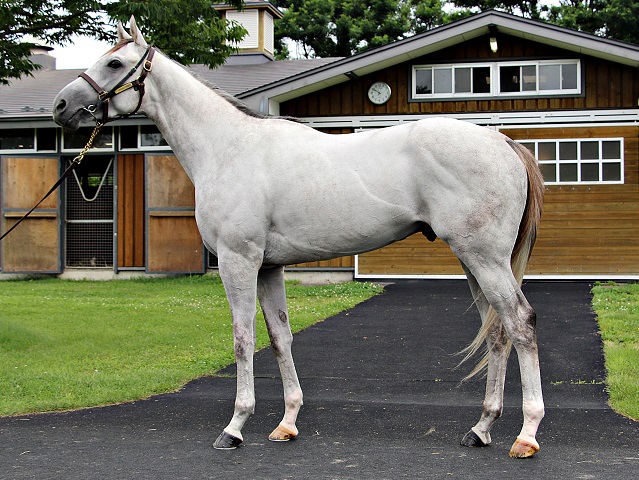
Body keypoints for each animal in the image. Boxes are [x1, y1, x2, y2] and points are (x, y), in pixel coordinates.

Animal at [53, 18, 545, 459]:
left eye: (115, 63)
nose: (60, 106)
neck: (228, 147)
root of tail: (504, 143)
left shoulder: (238, 261)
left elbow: (242, 338)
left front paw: (234, 427)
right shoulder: (269, 267)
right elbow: (279, 337)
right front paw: (286, 423)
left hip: (483, 258)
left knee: (520, 323)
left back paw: (526, 435)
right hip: (473, 261)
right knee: (497, 330)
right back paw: (480, 429)